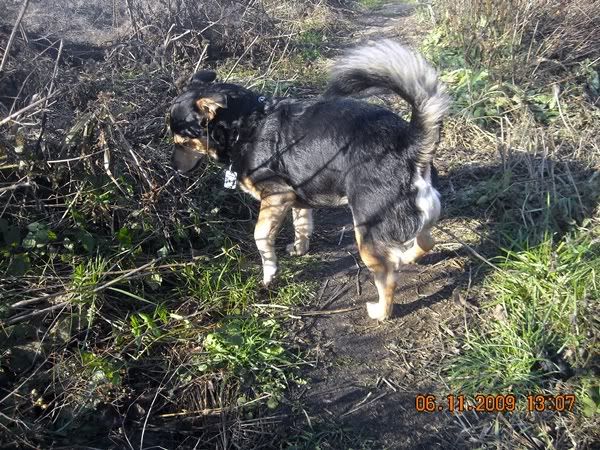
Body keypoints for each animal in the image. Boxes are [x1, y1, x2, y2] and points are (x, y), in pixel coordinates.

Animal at [169, 40, 450, 320]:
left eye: (183, 142)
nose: (174, 168)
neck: (245, 126)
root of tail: (410, 144)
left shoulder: (276, 196)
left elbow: (261, 237)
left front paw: (269, 274)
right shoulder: (297, 198)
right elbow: (302, 225)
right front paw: (299, 249)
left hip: (368, 231)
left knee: (388, 275)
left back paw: (381, 311)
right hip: (420, 212)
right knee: (427, 240)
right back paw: (409, 257)